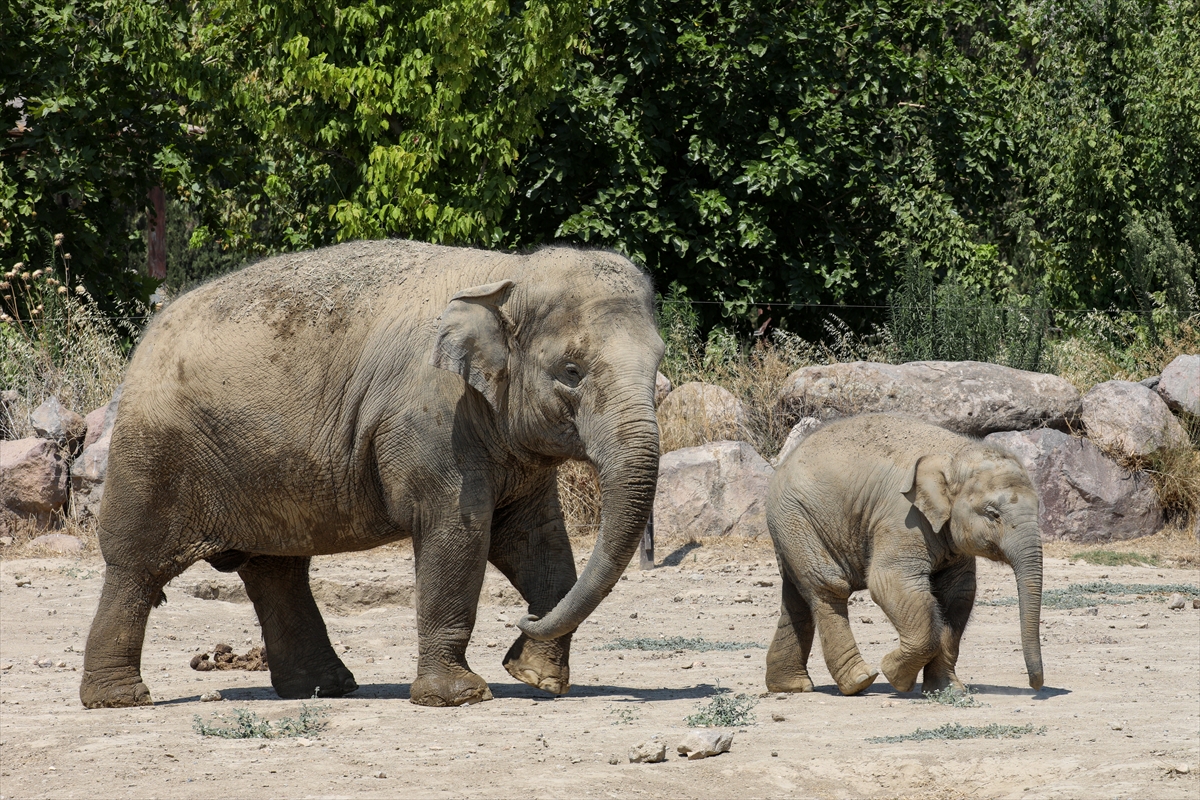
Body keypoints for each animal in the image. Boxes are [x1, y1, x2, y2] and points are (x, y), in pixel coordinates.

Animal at [82, 241, 667, 710]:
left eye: (660, 361)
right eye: (571, 371)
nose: (520, 621)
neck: (508, 274)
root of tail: (146, 340)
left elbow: (537, 541)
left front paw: (536, 679)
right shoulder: (431, 424)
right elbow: (458, 536)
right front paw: (459, 697)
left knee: (276, 570)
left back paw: (324, 689)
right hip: (154, 454)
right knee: (136, 565)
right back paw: (120, 700)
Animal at [768, 417, 1041, 695]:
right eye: (993, 513)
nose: (1035, 685)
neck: (956, 453)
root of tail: (784, 462)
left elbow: (959, 592)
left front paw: (947, 690)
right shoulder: (902, 517)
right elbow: (890, 582)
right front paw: (895, 676)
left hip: (791, 530)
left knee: (796, 597)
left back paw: (791, 686)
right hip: (798, 519)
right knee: (828, 587)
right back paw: (860, 680)